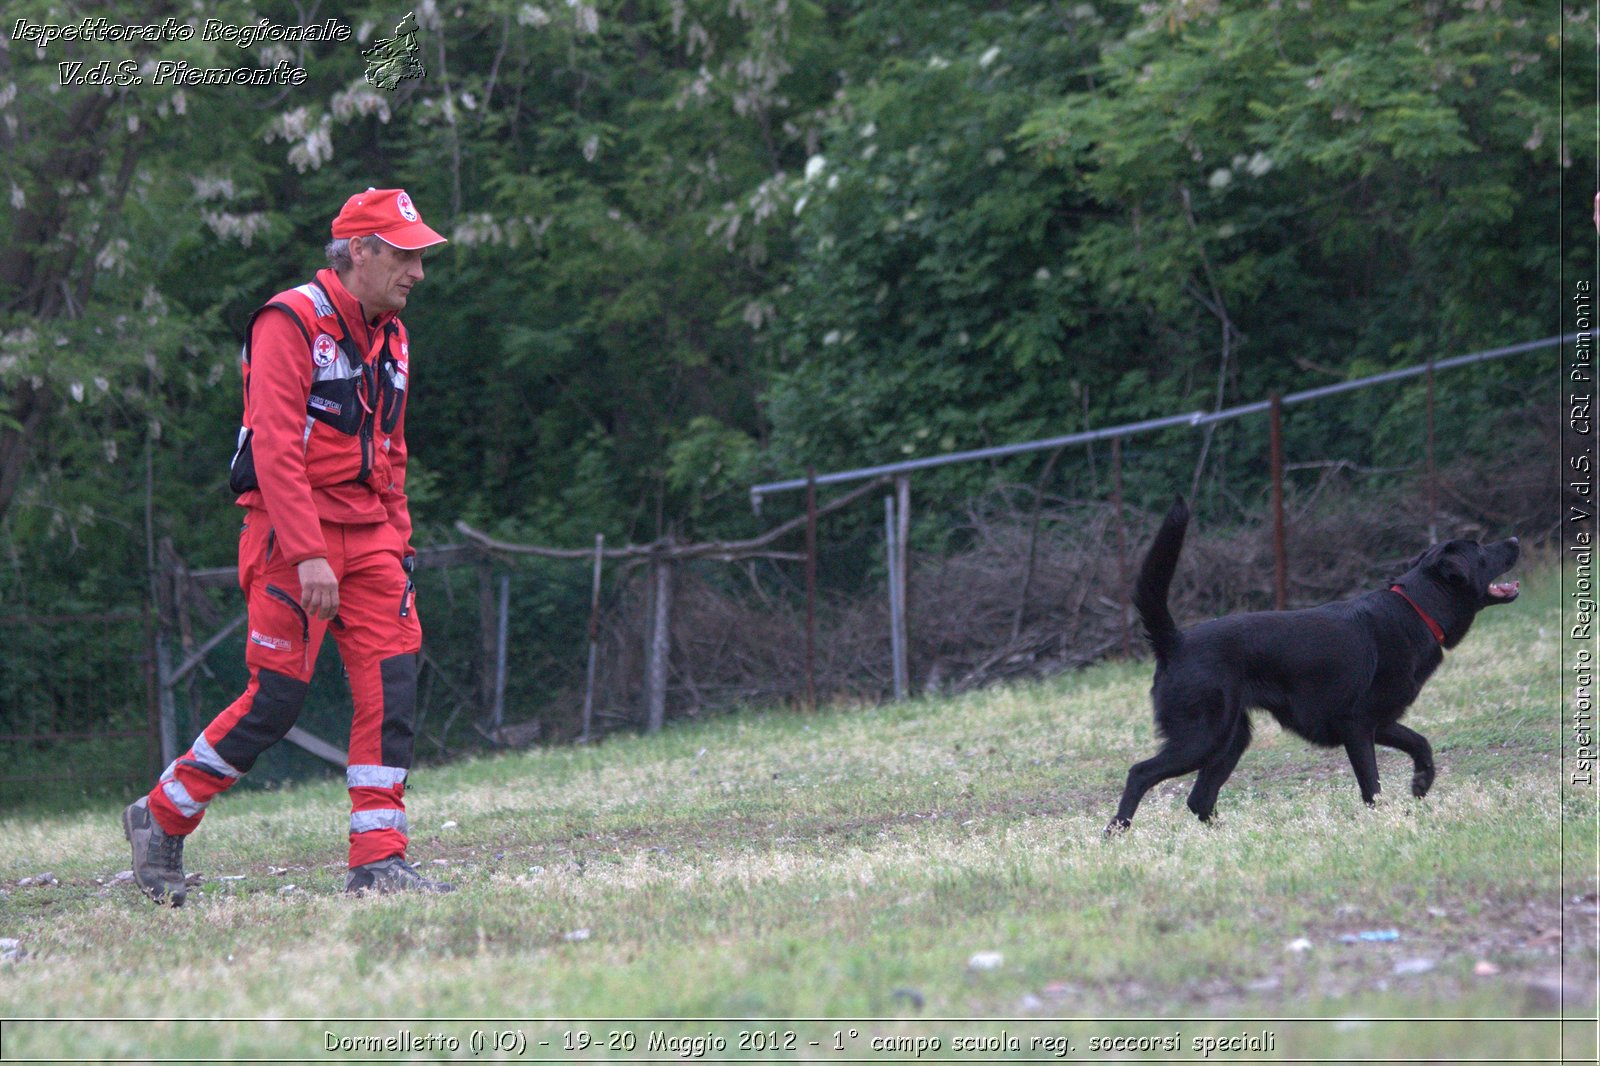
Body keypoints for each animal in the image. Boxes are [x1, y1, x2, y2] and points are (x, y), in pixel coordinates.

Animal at [1107, 499, 1516, 832]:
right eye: (1479, 549)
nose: (1514, 541)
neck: (1417, 607)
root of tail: (1175, 641)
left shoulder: (1379, 721)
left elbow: (1421, 743)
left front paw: (1421, 783)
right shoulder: (1357, 726)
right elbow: (1372, 785)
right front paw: (1385, 818)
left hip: (1230, 740)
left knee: (1199, 799)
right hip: (1201, 738)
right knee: (1140, 773)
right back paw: (1115, 833)